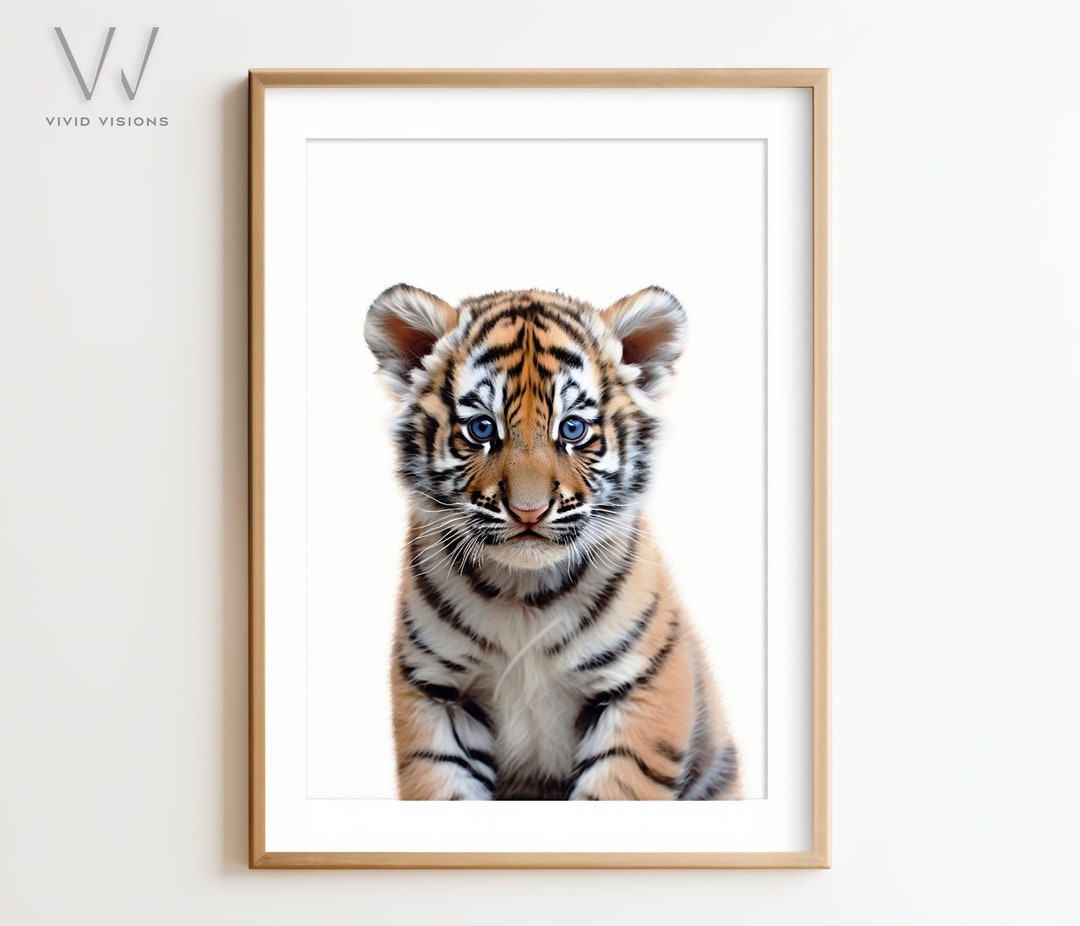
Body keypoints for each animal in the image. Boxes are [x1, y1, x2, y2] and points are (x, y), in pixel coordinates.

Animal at [364, 284, 740, 801]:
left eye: (573, 429)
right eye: (482, 429)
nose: (529, 511)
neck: (524, 597)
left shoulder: (640, 686)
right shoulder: (437, 692)